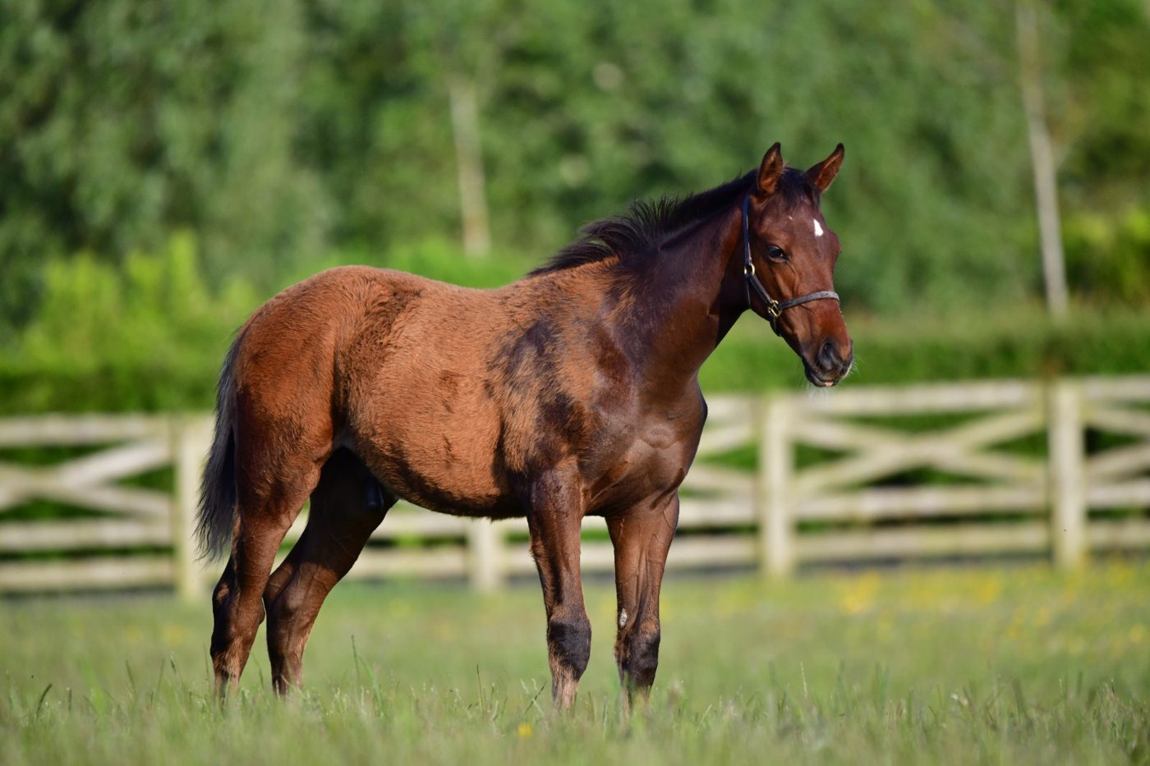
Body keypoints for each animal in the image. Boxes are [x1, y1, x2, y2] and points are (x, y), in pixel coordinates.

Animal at [197, 142, 853, 710]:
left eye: (835, 249)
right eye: (775, 249)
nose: (835, 357)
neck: (630, 353)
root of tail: (262, 317)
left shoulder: (649, 508)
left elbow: (640, 643)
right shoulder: (553, 495)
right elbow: (571, 632)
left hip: (350, 499)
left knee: (290, 602)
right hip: (274, 485)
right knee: (238, 602)